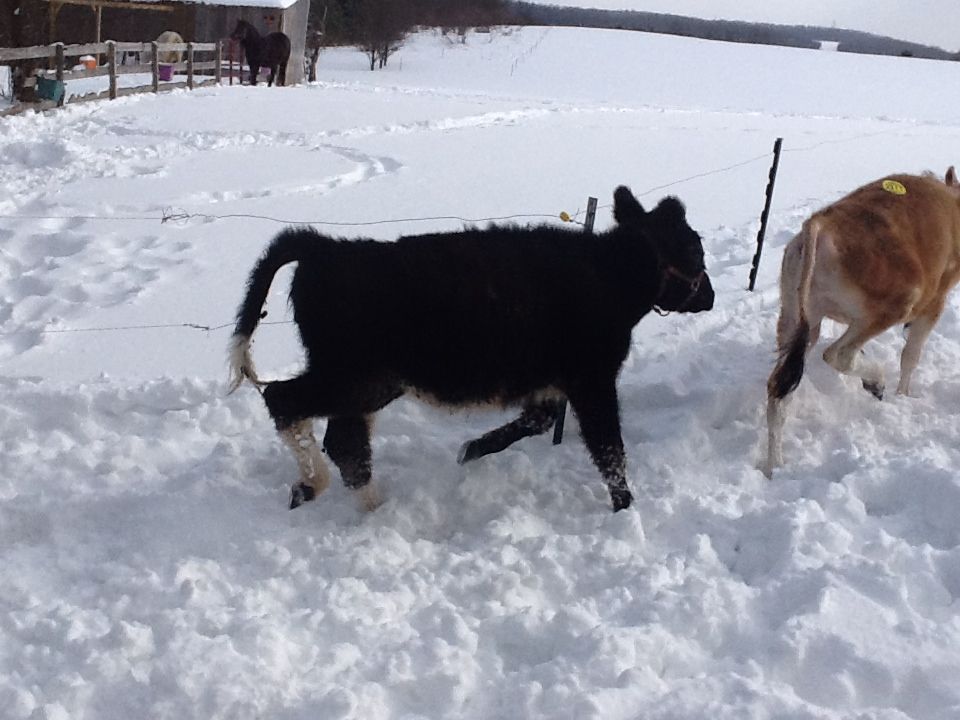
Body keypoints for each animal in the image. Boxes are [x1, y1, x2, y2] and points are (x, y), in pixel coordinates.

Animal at [228, 186, 715, 513]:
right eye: (695, 251)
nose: (710, 296)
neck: (609, 274)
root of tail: (325, 248)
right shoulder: (592, 379)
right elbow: (610, 449)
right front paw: (625, 505)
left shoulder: (549, 380)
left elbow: (536, 421)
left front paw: (472, 449)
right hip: (357, 377)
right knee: (287, 401)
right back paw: (322, 487)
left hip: (363, 381)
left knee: (344, 441)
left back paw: (359, 501)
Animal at [765, 167, 960, 476]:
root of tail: (821, 224)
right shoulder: (934, 302)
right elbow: (911, 354)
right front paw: (903, 395)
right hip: (891, 305)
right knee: (838, 353)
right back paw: (876, 380)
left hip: (797, 318)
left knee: (778, 391)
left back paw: (775, 467)